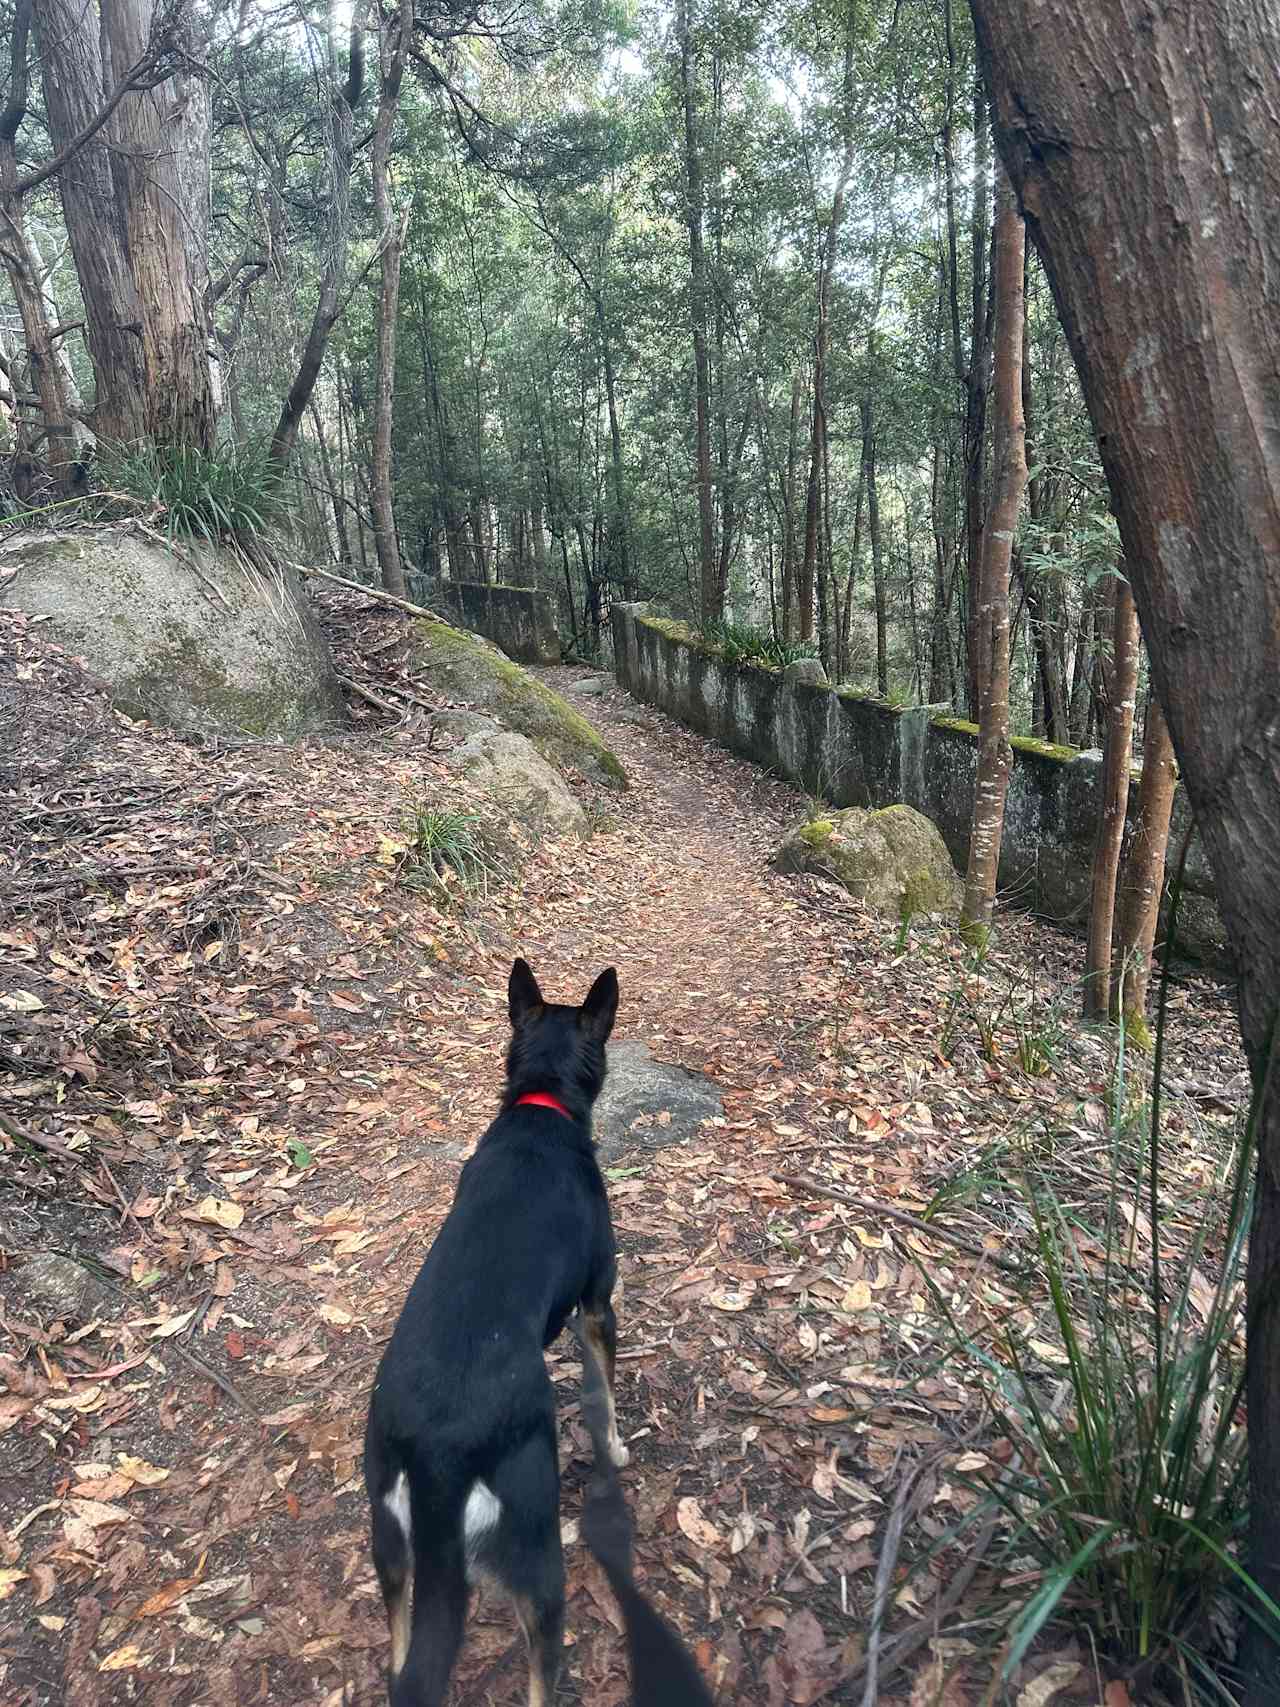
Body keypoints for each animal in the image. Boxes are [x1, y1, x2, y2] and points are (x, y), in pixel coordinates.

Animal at [365, 962, 628, 1707]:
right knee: (542, 1665)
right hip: (537, 1553)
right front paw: (616, 1451)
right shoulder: (596, 1306)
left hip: (392, 1551)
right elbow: (605, 1400)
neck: (542, 1106)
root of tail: (437, 1457)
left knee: (403, 1666)